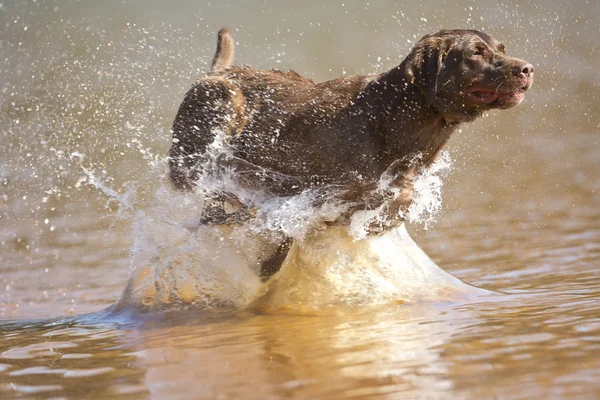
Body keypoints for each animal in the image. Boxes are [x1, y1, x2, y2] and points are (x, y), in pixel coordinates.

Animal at [168, 28, 536, 276]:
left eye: (501, 49)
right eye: (476, 52)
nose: (528, 68)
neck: (397, 118)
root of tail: (215, 71)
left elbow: (400, 199)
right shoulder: (326, 183)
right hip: (223, 102)